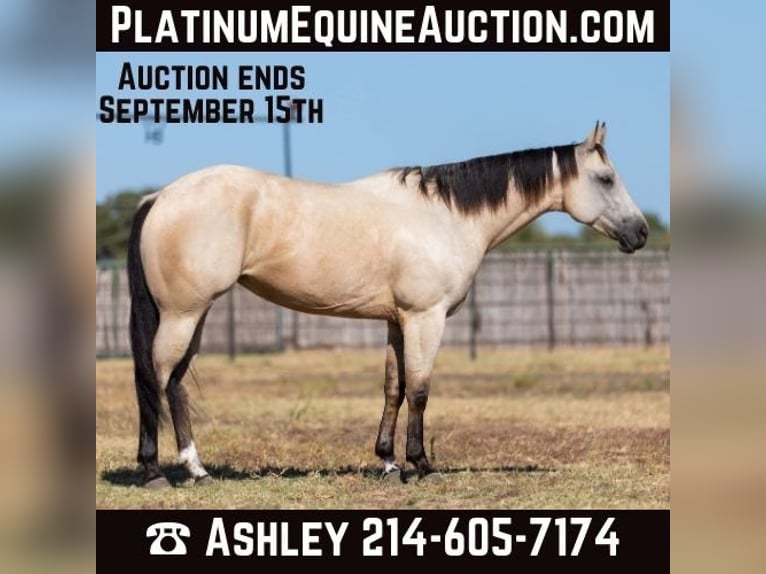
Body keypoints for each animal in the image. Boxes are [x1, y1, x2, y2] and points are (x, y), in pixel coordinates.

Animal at [127, 121, 648, 488]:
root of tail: (160, 196)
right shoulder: (425, 319)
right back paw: (155, 472)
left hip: (194, 315)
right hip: (183, 313)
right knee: (155, 378)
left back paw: (196, 470)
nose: (640, 232)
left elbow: (392, 389)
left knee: (175, 383)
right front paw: (422, 465)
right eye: (606, 178)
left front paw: (388, 463)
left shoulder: (398, 321)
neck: (446, 216)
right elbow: (419, 390)